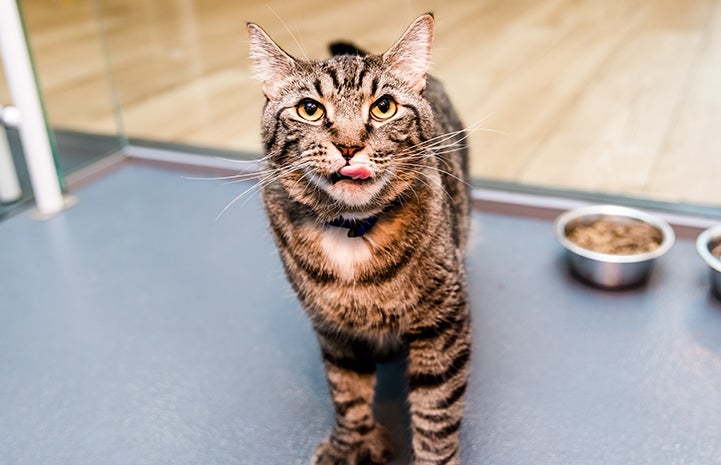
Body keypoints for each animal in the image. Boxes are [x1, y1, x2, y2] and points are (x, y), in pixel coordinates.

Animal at [248, 14, 472, 464]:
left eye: (384, 107)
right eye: (310, 109)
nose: (349, 146)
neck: (352, 229)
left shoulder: (443, 323)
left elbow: (436, 411)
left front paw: (432, 457)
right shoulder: (334, 329)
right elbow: (347, 392)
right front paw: (350, 444)